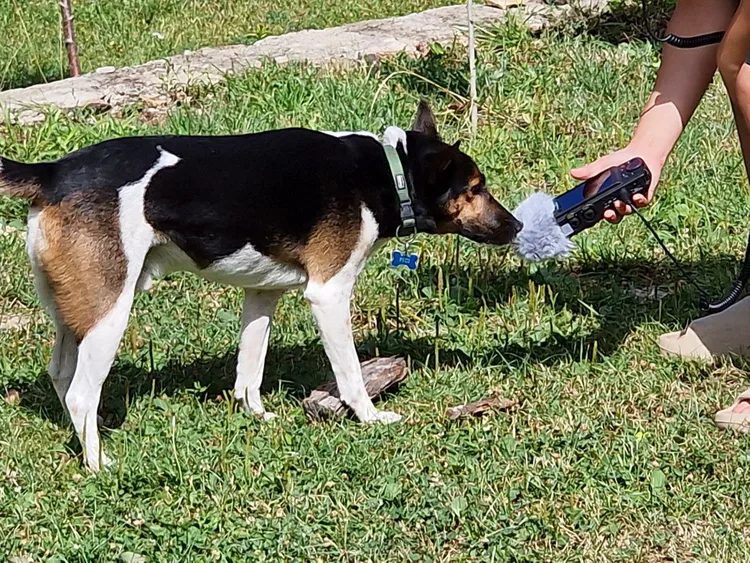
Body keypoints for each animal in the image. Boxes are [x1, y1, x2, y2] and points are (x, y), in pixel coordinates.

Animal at [0, 102, 524, 472]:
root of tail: (54, 172)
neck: (385, 170)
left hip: (74, 306)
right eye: (475, 188)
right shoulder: (328, 294)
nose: (517, 225)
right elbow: (351, 373)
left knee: (61, 374)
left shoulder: (262, 293)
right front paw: (370, 418)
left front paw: (256, 416)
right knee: (80, 393)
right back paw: (98, 464)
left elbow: (248, 372)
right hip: (111, 312)